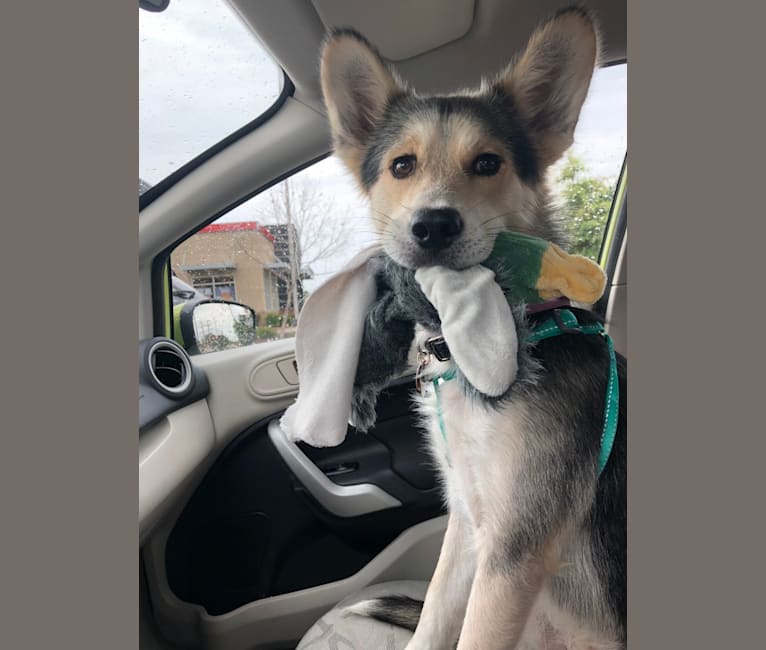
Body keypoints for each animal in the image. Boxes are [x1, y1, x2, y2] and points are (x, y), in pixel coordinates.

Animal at [318, 6, 624, 648]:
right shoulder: (467, 521)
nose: (433, 225)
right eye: (402, 166)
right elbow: (434, 619)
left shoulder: (514, 551)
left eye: (487, 163)